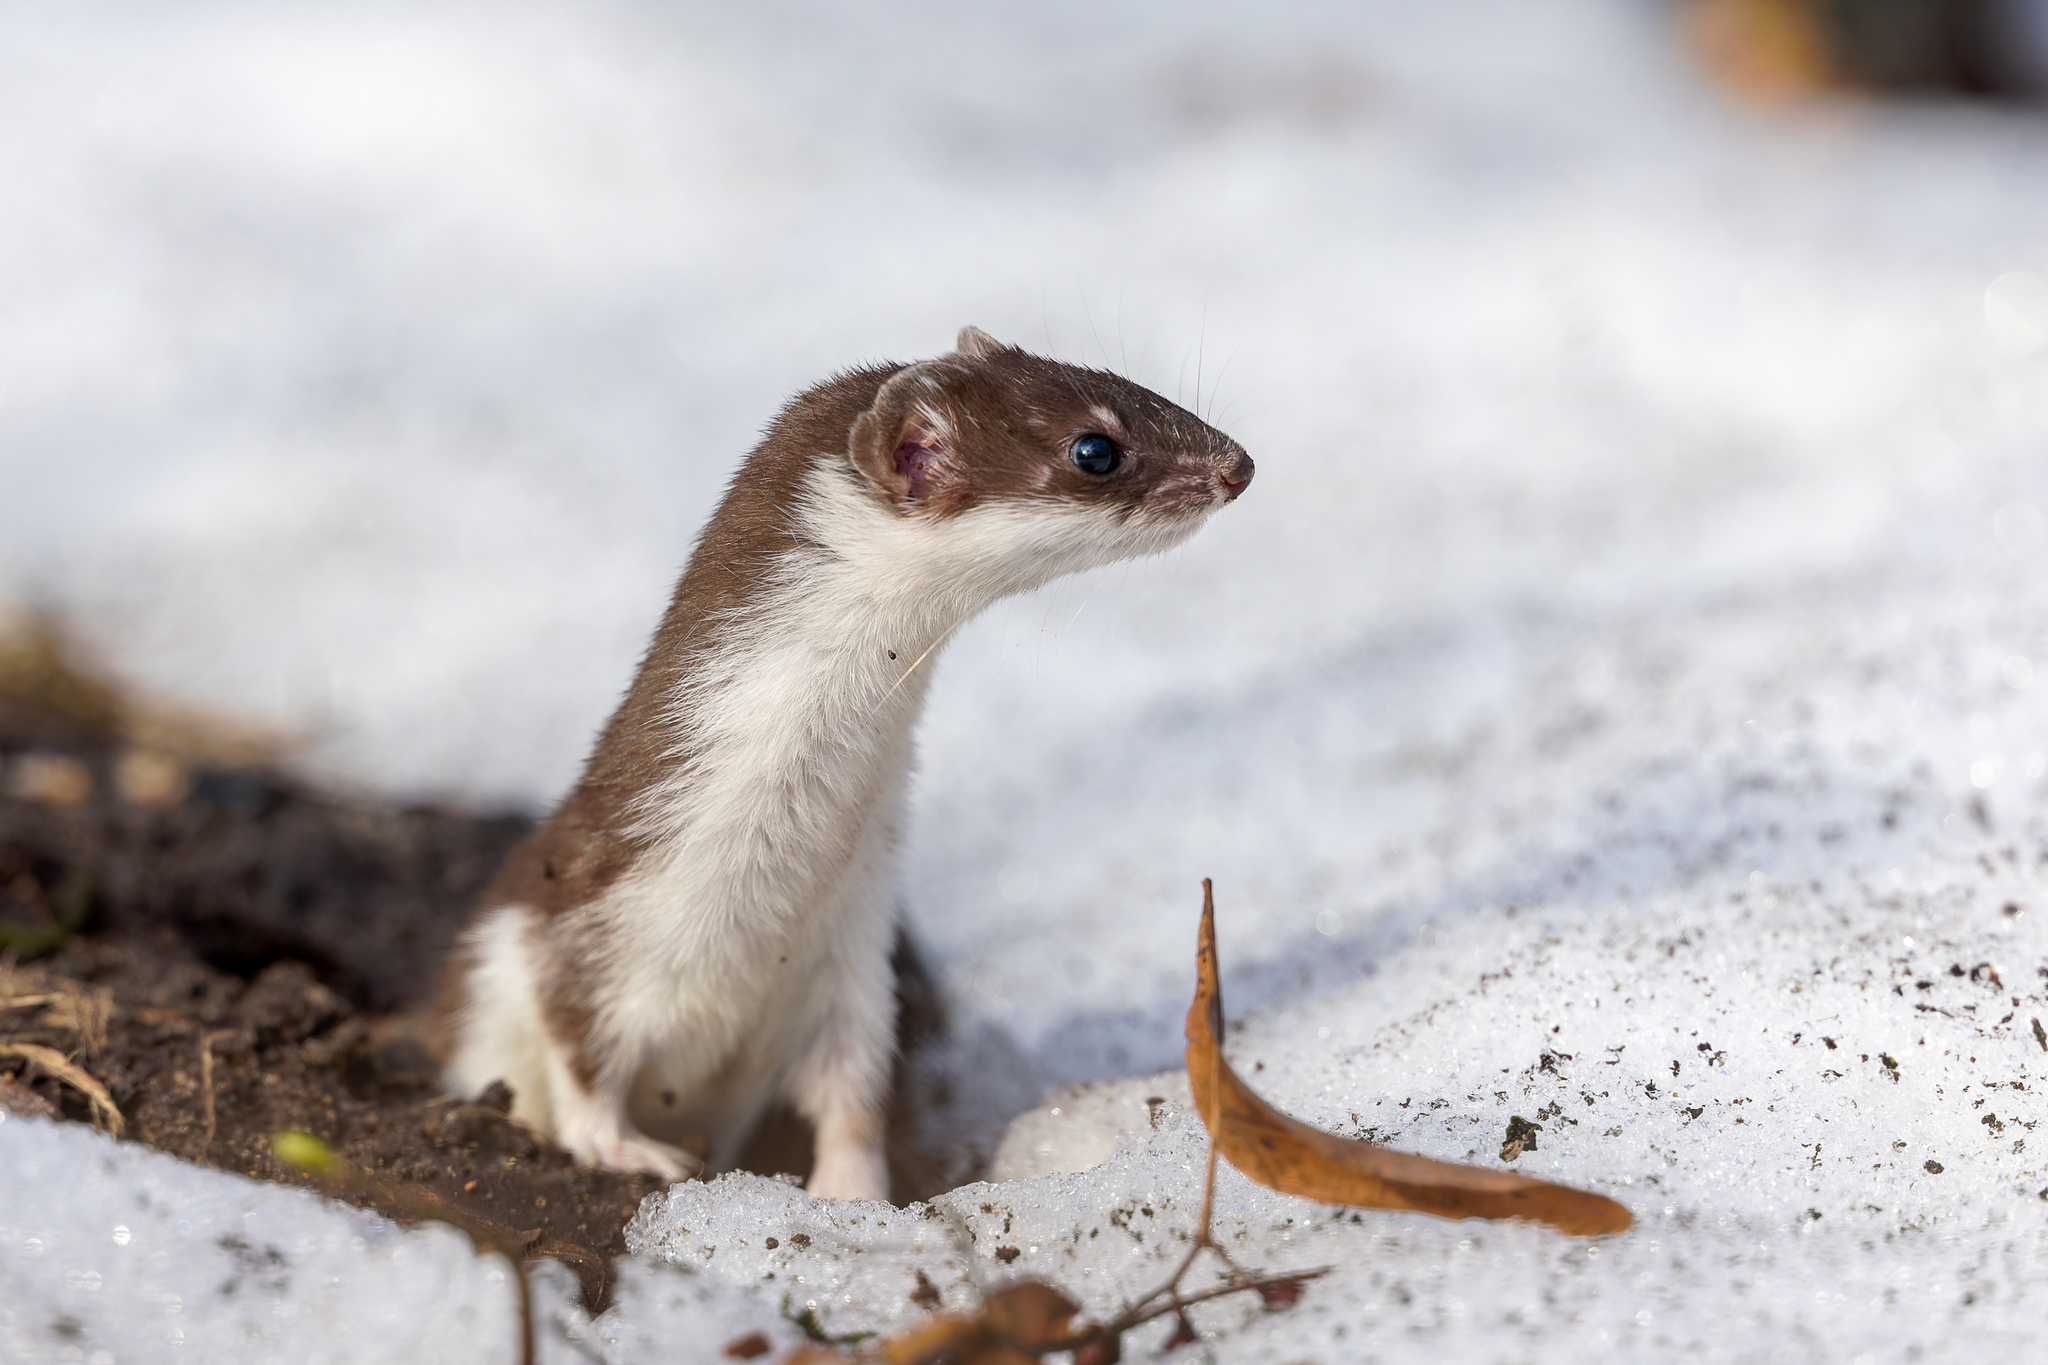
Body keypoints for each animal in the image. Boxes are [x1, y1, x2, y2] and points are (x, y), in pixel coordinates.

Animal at [440, 325, 1253, 1203]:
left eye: (1120, 379)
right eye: (1096, 446)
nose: (1239, 463)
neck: (760, 914)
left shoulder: (850, 954)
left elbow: (853, 1092)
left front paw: (853, 1195)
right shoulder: (588, 916)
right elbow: (580, 1045)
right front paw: (627, 1149)